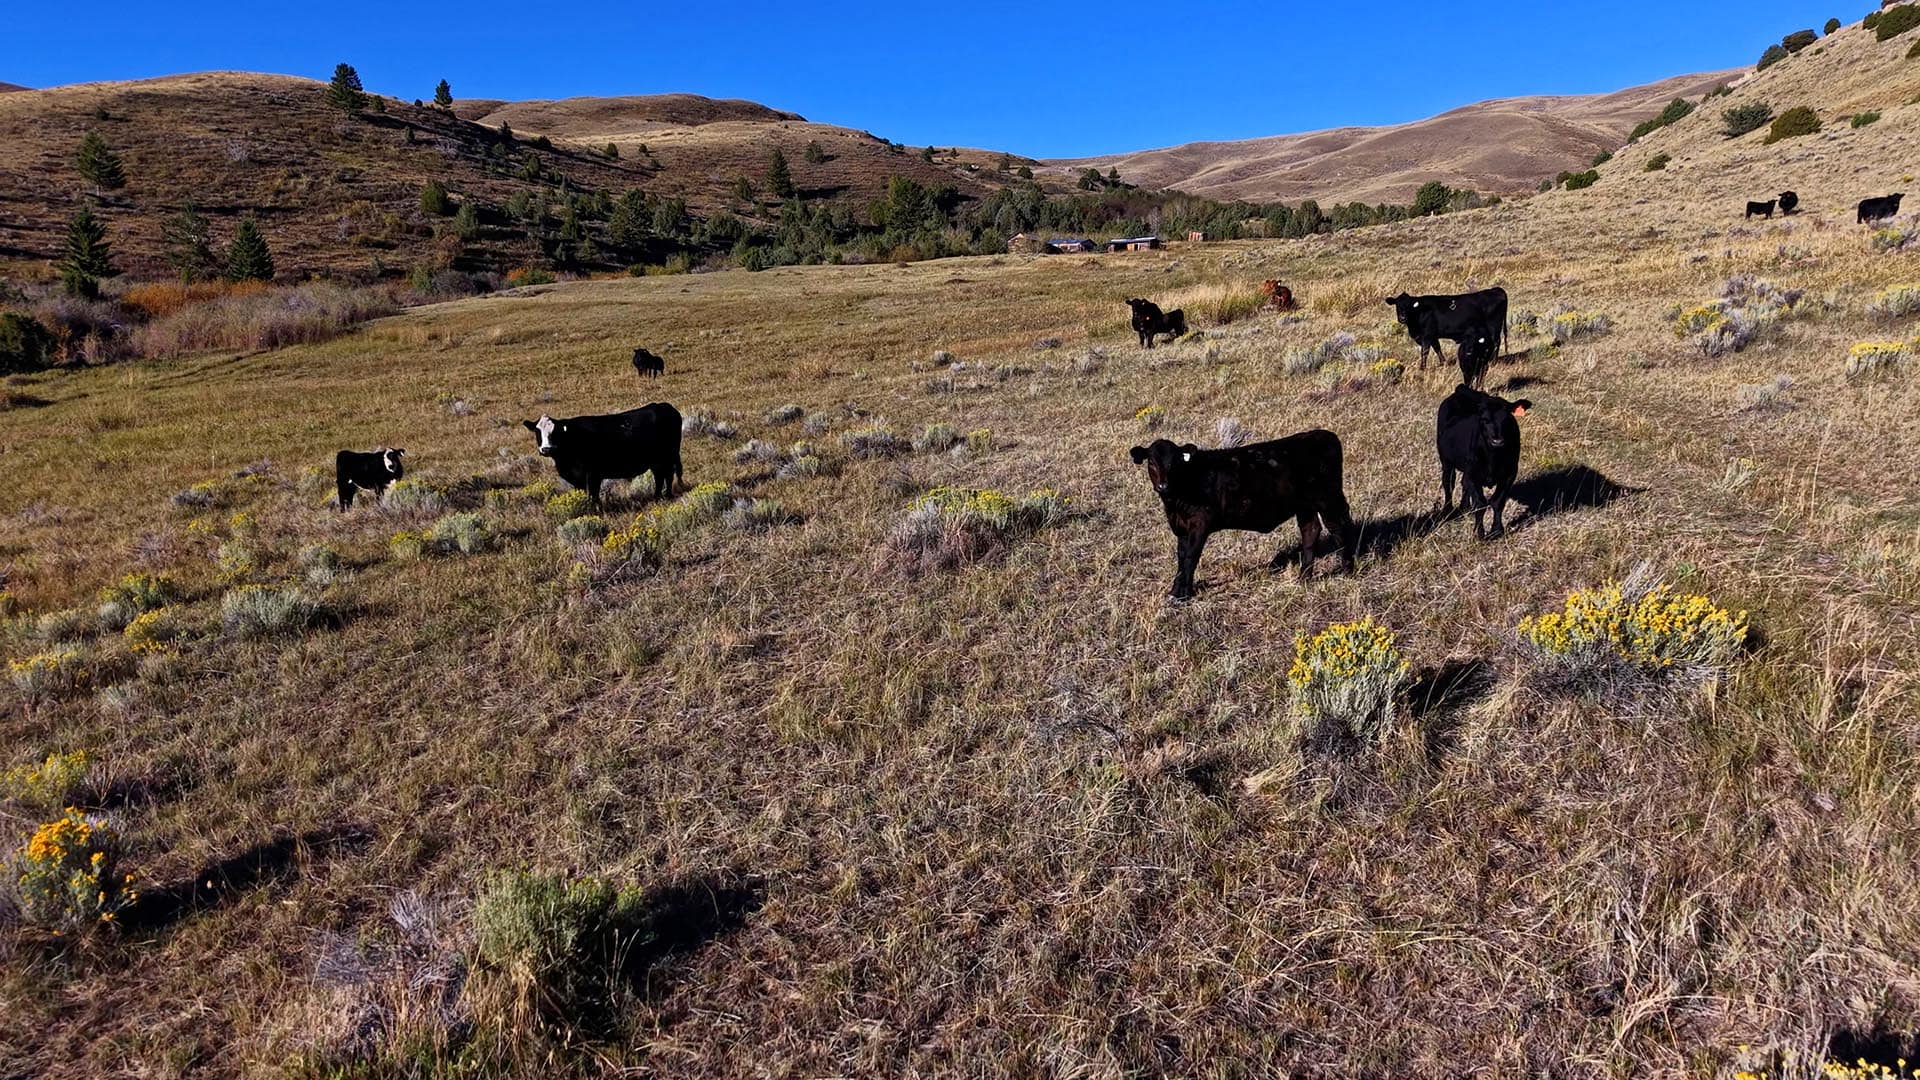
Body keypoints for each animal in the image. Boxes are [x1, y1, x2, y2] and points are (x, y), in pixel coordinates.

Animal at [523, 402, 683, 509]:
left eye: (555, 432)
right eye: (537, 432)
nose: (546, 449)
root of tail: (665, 406)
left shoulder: (593, 474)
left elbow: (593, 494)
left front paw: (596, 509)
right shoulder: (577, 479)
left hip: (668, 455)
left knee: (667, 475)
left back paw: (665, 496)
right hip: (658, 460)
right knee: (661, 476)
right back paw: (658, 497)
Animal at [1129, 430, 1355, 600]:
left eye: (1174, 463)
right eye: (1151, 463)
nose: (1163, 486)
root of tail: (1323, 434)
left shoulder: (1200, 524)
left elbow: (1191, 557)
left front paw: (1183, 595)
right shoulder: (1181, 528)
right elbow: (1181, 557)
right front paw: (1176, 590)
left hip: (1328, 497)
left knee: (1338, 527)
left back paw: (1347, 570)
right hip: (1304, 505)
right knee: (1311, 530)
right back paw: (1304, 578)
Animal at [1436, 385, 1531, 541]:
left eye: (1507, 419)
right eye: (1484, 419)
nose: (1497, 440)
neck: (1493, 457)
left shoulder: (1509, 474)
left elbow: (1498, 502)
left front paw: (1497, 530)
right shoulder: (1473, 475)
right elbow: (1480, 503)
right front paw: (1479, 533)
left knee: (1463, 483)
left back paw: (1464, 507)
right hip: (1446, 461)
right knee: (1448, 483)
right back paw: (1447, 512)